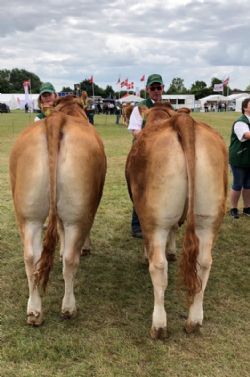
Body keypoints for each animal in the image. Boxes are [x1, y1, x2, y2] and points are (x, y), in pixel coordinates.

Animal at [8, 95, 106, 324]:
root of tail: (55, 121)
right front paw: (84, 248)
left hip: (27, 215)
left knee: (31, 257)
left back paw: (34, 311)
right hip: (78, 215)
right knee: (71, 259)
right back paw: (68, 308)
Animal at [126, 102, 228, 338]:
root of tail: (183, 120)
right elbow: (175, 229)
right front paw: (172, 251)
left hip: (155, 219)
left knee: (158, 266)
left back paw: (159, 325)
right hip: (208, 218)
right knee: (204, 262)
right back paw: (194, 320)